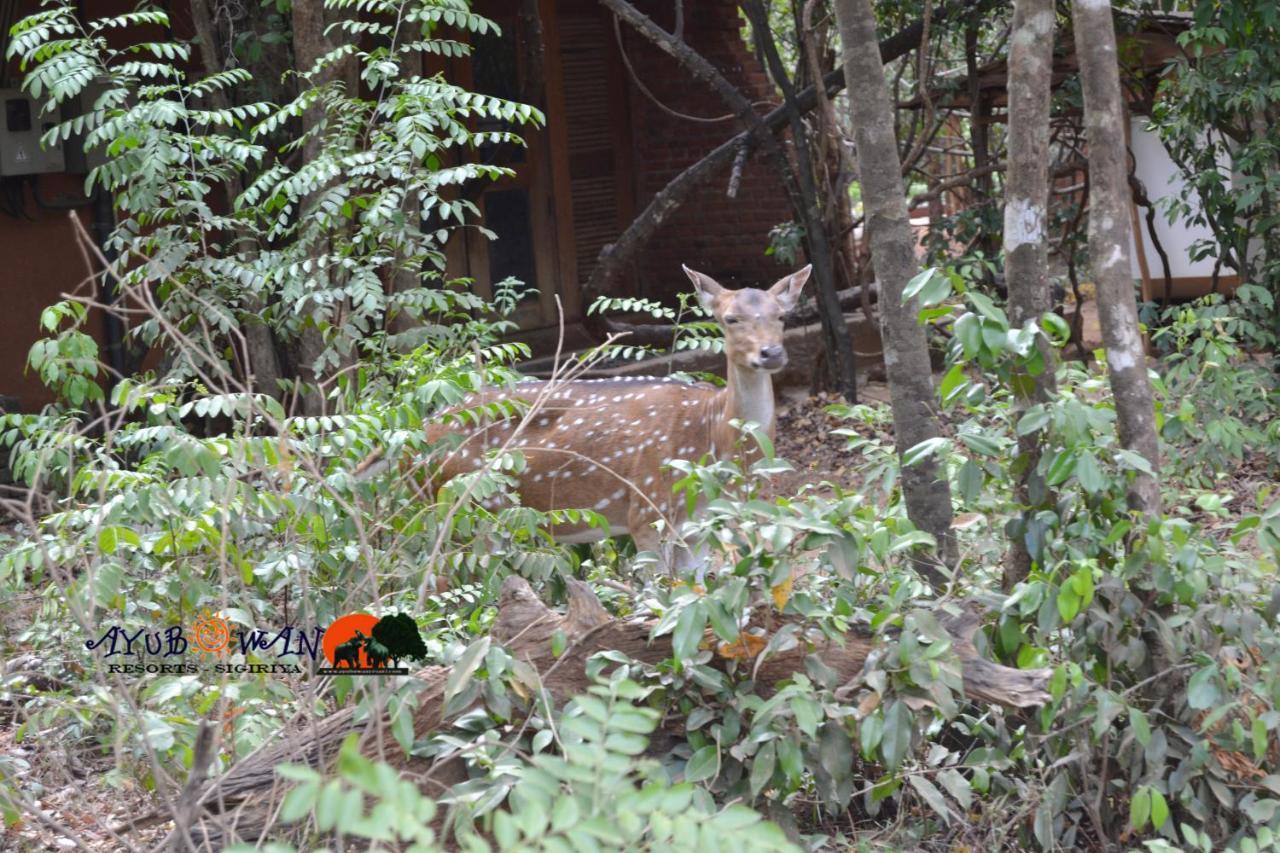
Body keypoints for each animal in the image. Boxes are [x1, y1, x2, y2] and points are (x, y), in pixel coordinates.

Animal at [371, 263, 808, 571]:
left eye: (781, 316)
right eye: (730, 319)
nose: (771, 353)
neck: (712, 436)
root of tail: (412, 433)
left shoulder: (700, 526)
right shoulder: (646, 508)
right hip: (457, 506)